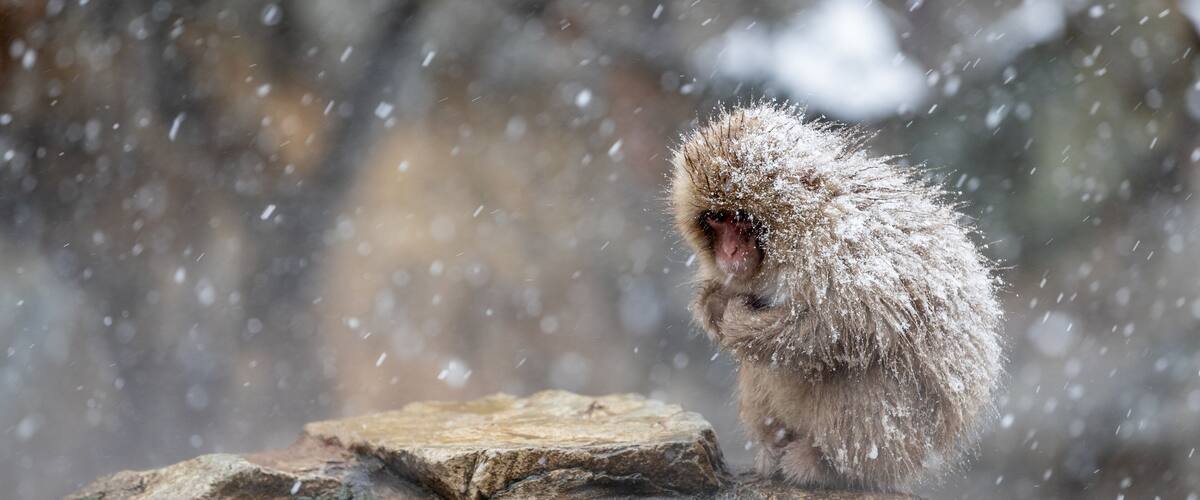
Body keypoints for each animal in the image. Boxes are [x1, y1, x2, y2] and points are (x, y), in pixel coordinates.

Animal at [670, 104, 1004, 492]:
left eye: (739, 218)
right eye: (716, 219)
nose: (729, 251)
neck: (800, 223)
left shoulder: (837, 246)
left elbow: (848, 322)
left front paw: (738, 322)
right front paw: (713, 305)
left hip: (911, 439)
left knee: (861, 371)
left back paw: (826, 466)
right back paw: (774, 445)